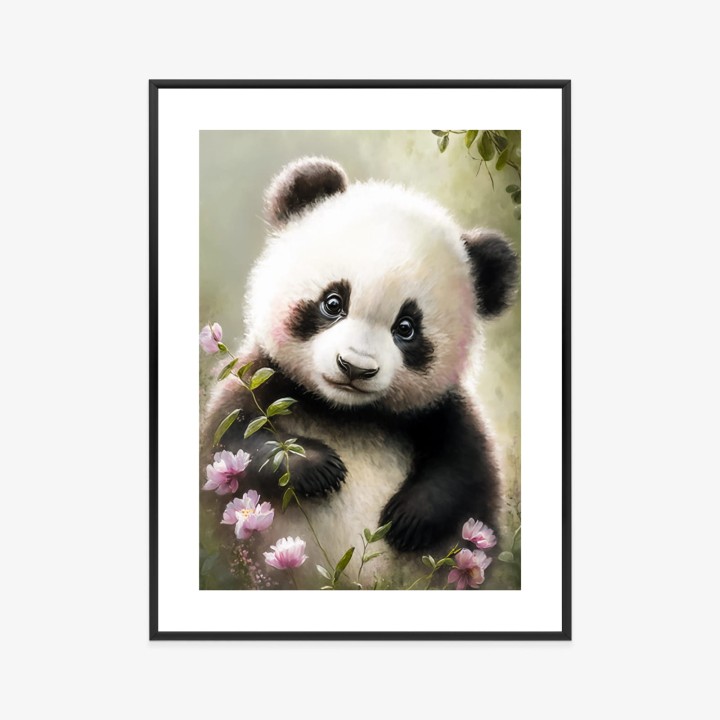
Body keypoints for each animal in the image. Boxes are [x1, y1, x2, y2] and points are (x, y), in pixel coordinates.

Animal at [202, 156, 518, 588]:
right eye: (333, 302)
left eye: (407, 328)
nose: (354, 367)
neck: (346, 413)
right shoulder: (262, 377)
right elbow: (231, 443)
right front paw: (318, 467)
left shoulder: (440, 410)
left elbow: (465, 470)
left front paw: (408, 517)